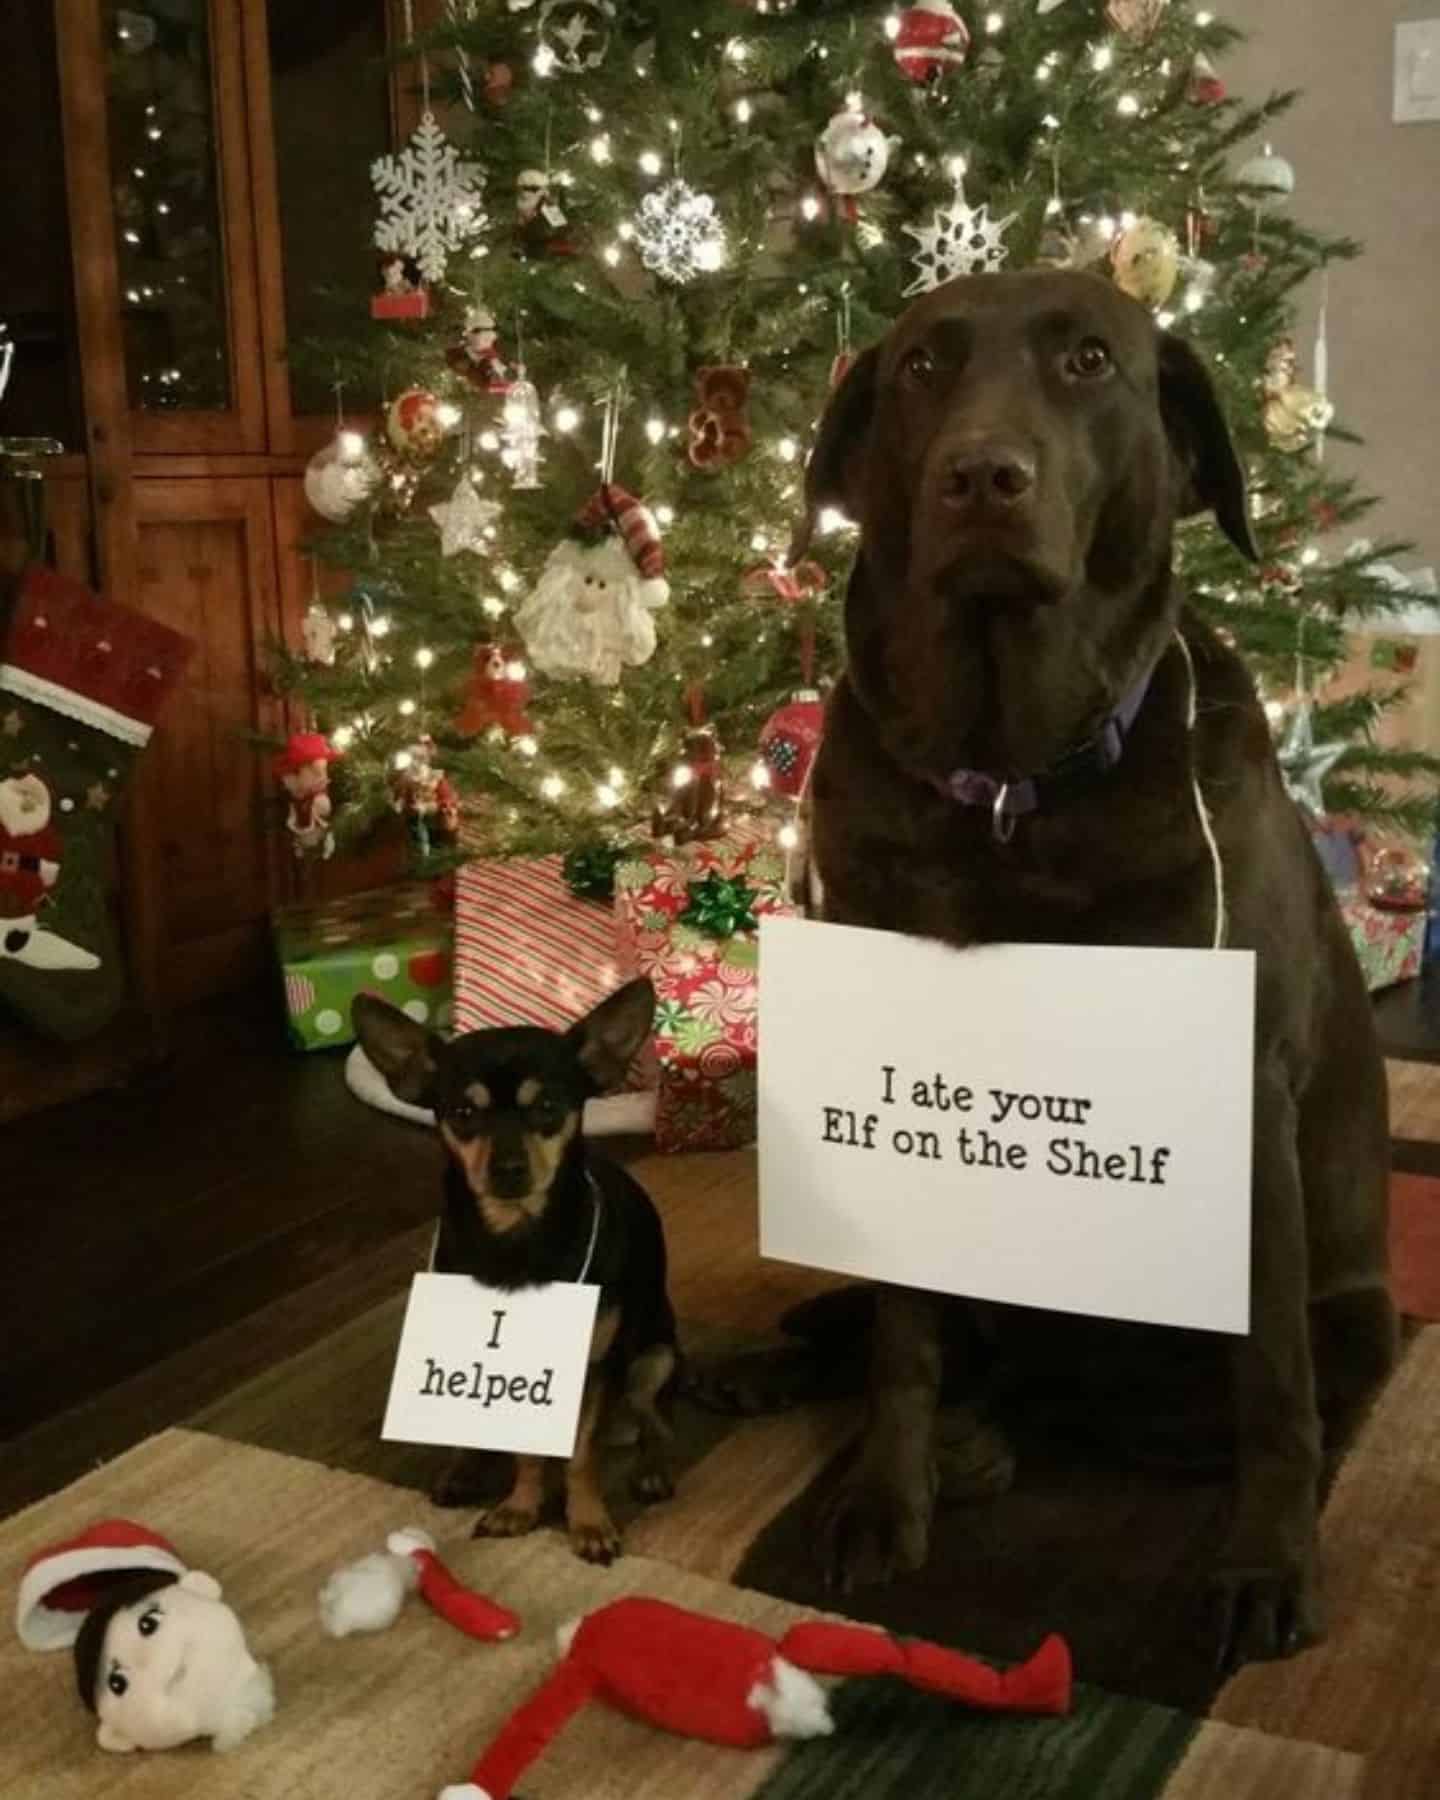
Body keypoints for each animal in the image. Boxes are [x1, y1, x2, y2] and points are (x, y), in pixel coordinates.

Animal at [356, 972, 676, 1562]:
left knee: (652, 1418)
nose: (508, 1169)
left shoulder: (594, 1369)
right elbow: (526, 1452)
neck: (516, 1241)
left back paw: (651, 1468)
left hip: (654, 1356)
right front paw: (522, 1508)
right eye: (464, 1115)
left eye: (548, 1105)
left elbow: (580, 1455)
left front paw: (588, 1522)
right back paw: (463, 1469)